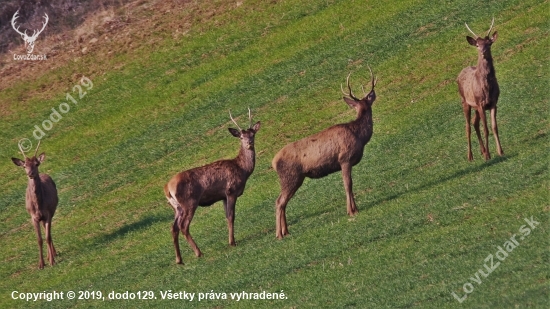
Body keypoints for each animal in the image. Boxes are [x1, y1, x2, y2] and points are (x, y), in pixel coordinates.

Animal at [164, 108, 260, 262]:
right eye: (241, 137)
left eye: (253, 134)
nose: (249, 143)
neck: (242, 169)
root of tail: (167, 188)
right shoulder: (231, 191)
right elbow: (232, 216)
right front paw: (232, 242)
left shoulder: (223, 196)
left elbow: (227, 216)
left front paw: (231, 240)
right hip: (189, 202)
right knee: (183, 226)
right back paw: (198, 253)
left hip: (176, 207)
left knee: (173, 228)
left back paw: (179, 260)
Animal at [272, 67, 378, 238]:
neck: (359, 136)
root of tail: (273, 162)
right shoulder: (345, 159)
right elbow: (348, 184)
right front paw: (352, 211)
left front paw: (353, 209)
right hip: (290, 176)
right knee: (279, 201)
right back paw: (279, 234)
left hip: (295, 178)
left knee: (281, 202)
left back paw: (285, 232)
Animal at [458, 18, 504, 161]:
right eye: (477, 45)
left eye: (489, 44)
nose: (483, 52)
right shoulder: (480, 104)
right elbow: (486, 129)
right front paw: (489, 155)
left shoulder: (493, 102)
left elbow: (494, 127)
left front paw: (500, 151)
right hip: (465, 101)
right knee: (467, 126)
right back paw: (470, 156)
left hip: (475, 106)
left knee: (474, 123)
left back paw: (482, 151)